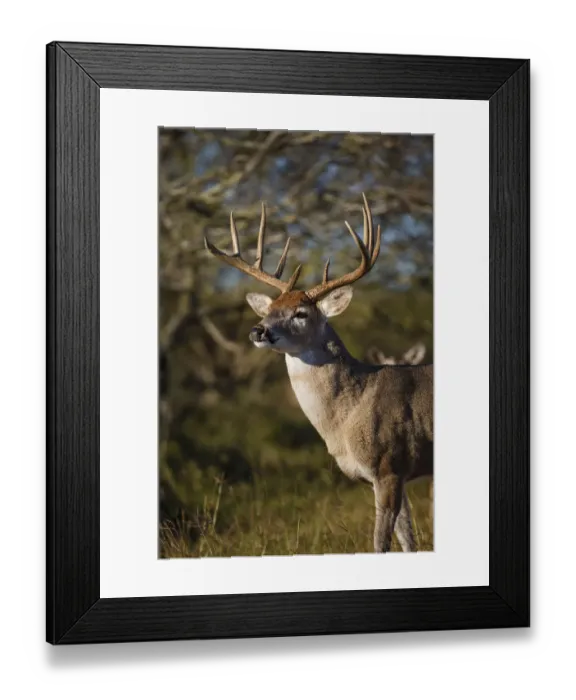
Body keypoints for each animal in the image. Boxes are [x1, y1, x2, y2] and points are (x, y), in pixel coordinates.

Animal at [205, 195, 433, 553]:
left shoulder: (389, 466)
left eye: (301, 313)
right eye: (270, 309)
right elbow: (409, 541)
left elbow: (381, 543)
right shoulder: (394, 474)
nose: (258, 330)